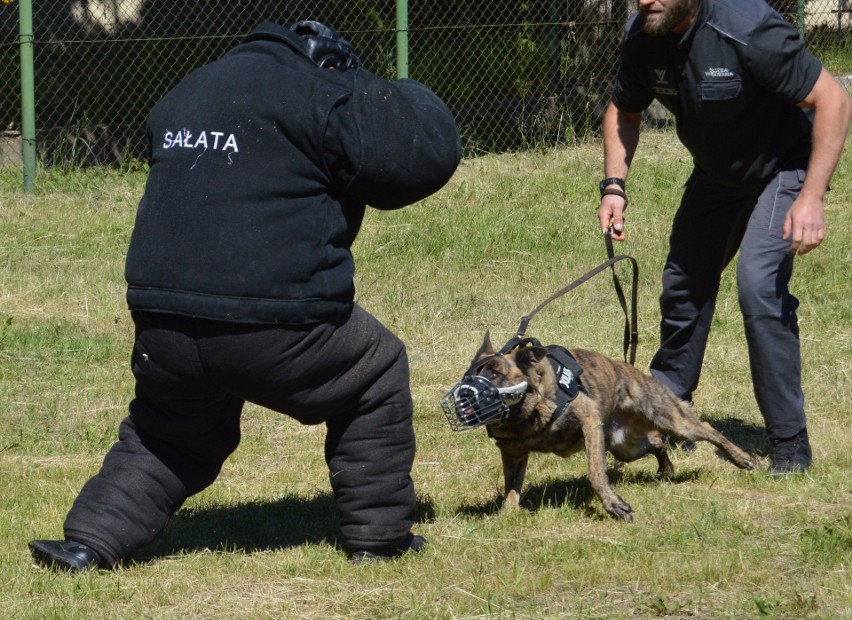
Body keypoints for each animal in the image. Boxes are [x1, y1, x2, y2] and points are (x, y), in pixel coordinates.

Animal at [470, 332, 756, 520]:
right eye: (472, 373)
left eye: (495, 373)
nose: (467, 395)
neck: (528, 413)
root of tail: (631, 369)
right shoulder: (513, 453)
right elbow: (512, 486)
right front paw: (508, 514)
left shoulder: (589, 422)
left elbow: (596, 473)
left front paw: (613, 504)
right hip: (626, 447)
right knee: (657, 442)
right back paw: (666, 469)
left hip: (671, 420)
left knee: (707, 429)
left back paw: (742, 458)